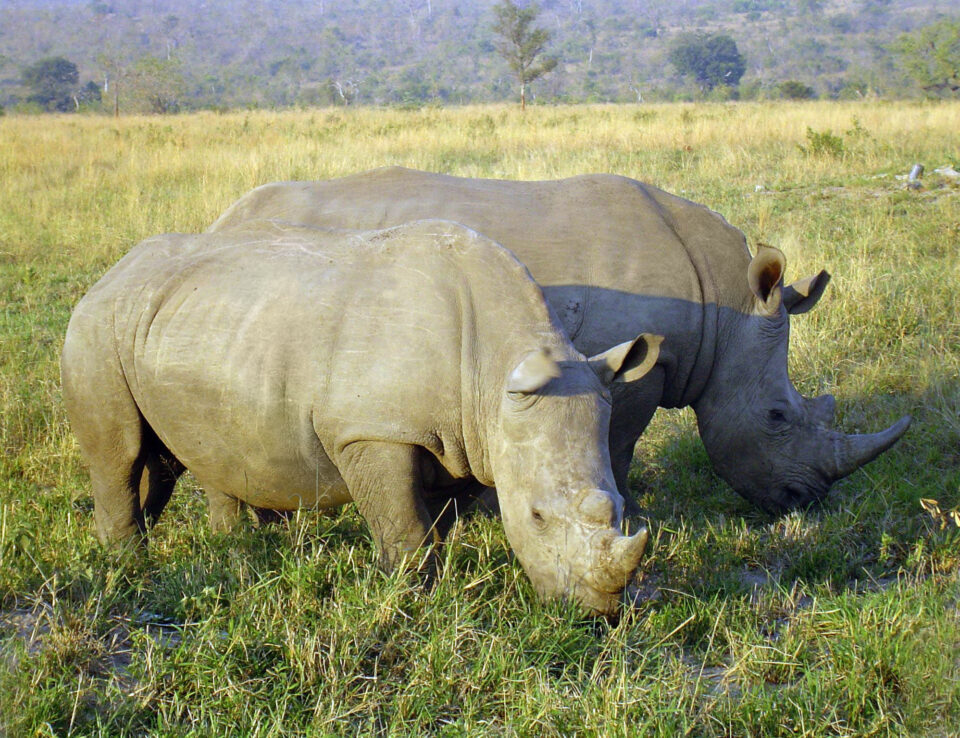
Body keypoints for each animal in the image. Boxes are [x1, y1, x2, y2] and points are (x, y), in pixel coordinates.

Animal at [61, 219, 661, 614]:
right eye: (536, 517)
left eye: (621, 508)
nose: (595, 613)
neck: (493, 371)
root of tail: (112, 272)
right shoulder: (374, 431)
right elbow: (403, 522)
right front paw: (412, 596)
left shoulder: (466, 441)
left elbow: (437, 518)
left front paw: (428, 582)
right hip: (96, 326)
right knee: (120, 454)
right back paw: (129, 567)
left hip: (184, 325)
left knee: (176, 454)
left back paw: (232, 548)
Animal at [208, 167, 911, 513]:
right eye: (776, 418)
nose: (805, 503)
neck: (728, 308)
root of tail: (222, 219)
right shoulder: (637, 363)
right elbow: (620, 447)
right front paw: (630, 510)